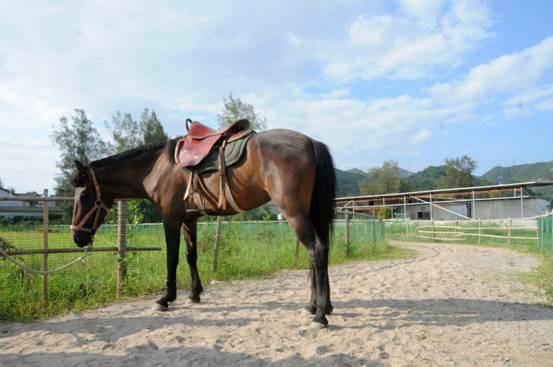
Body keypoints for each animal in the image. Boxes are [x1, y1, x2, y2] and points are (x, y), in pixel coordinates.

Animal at [69, 127, 336, 328]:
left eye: (83, 196)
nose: (77, 237)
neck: (159, 166)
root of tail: (311, 142)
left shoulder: (171, 219)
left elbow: (172, 258)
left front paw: (166, 298)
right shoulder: (190, 219)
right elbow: (191, 255)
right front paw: (195, 293)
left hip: (294, 213)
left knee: (316, 251)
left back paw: (320, 314)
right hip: (309, 213)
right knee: (319, 252)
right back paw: (316, 305)